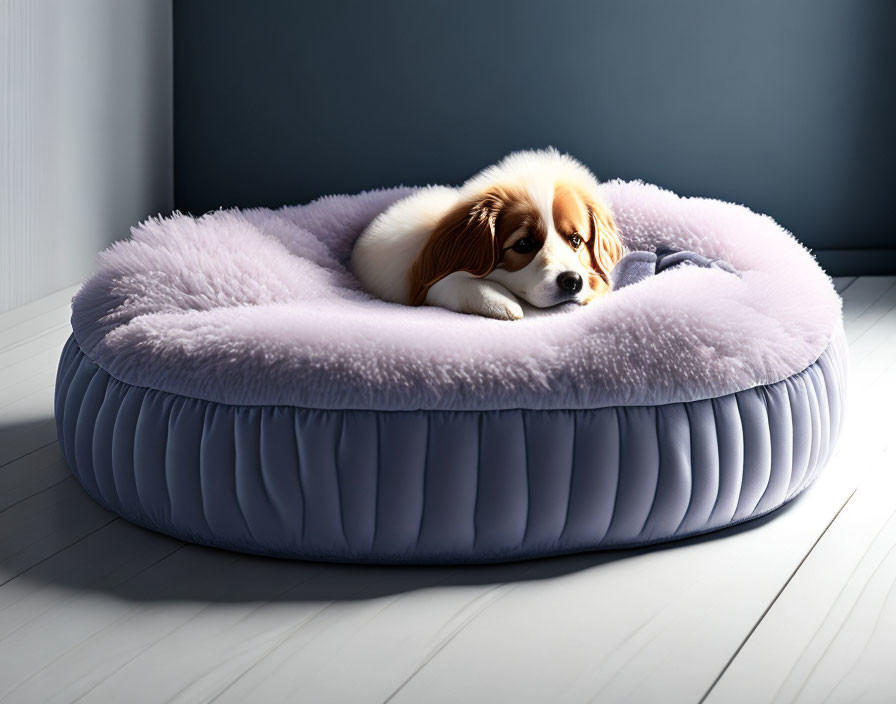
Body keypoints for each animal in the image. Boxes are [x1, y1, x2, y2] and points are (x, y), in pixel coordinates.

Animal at [350, 153, 624, 324]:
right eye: (524, 244)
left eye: (576, 240)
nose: (572, 281)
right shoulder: (430, 283)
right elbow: (455, 283)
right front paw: (503, 304)